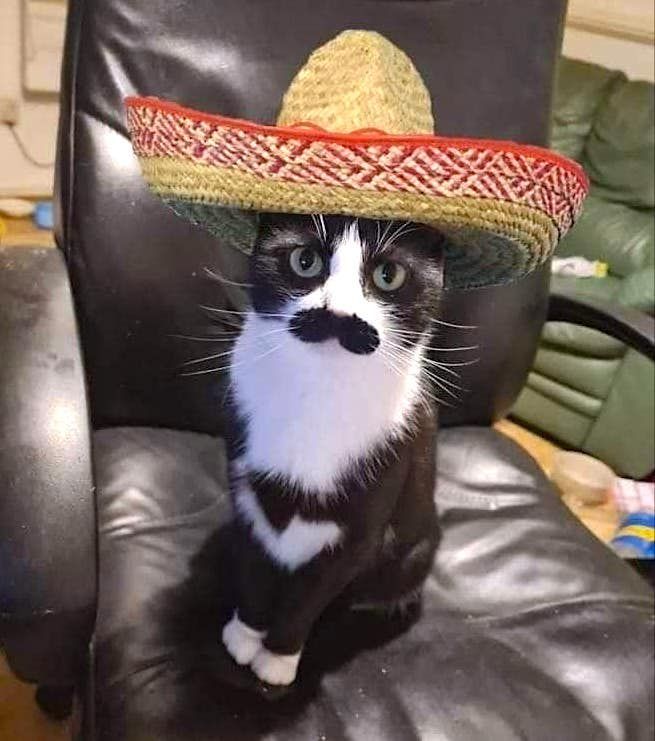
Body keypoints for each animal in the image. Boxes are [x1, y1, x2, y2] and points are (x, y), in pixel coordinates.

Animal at [222, 214, 452, 688]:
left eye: (389, 275)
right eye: (304, 260)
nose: (338, 316)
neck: (318, 396)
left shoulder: (361, 531)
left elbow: (310, 596)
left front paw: (278, 659)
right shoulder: (246, 498)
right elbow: (253, 568)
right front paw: (244, 636)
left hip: (415, 550)